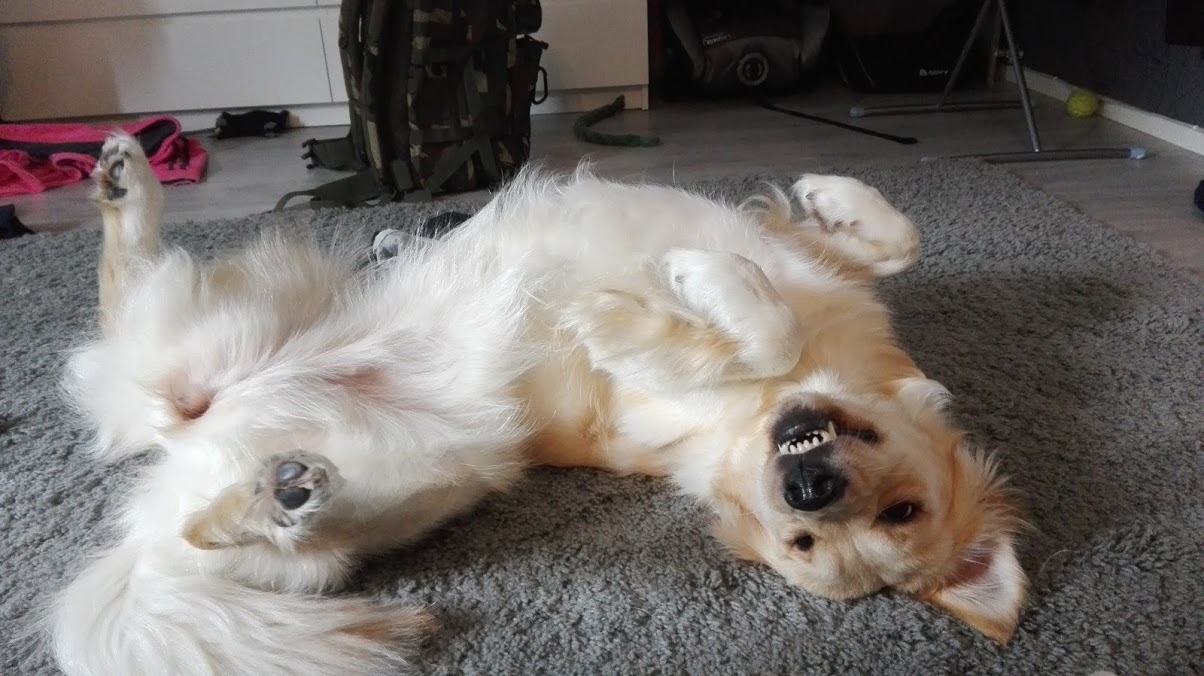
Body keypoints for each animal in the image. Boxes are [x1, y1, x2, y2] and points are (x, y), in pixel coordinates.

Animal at [50, 132, 1026, 675]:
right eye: (905, 510)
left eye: (807, 547)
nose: (811, 490)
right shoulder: (821, 273)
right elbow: (894, 242)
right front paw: (825, 197)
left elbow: (759, 328)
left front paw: (660, 292)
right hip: (211, 336)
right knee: (126, 300)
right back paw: (125, 181)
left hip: (383, 496)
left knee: (227, 529)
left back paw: (276, 495)